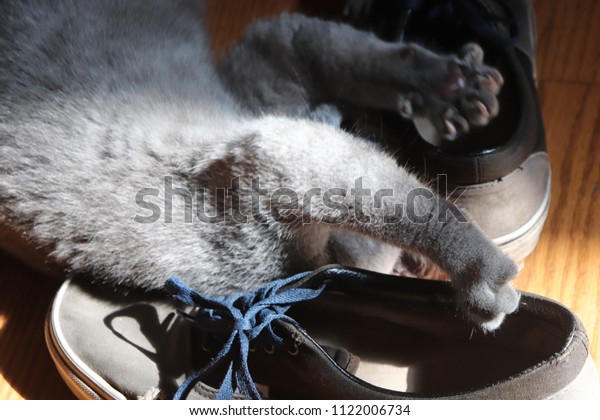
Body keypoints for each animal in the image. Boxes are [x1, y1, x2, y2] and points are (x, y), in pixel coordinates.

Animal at [0, 0, 516, 330]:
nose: (380, 127)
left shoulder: (267, 69)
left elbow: (358, 58)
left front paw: (446, 86)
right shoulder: (274, 158)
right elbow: (416, 207)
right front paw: (483, 278)